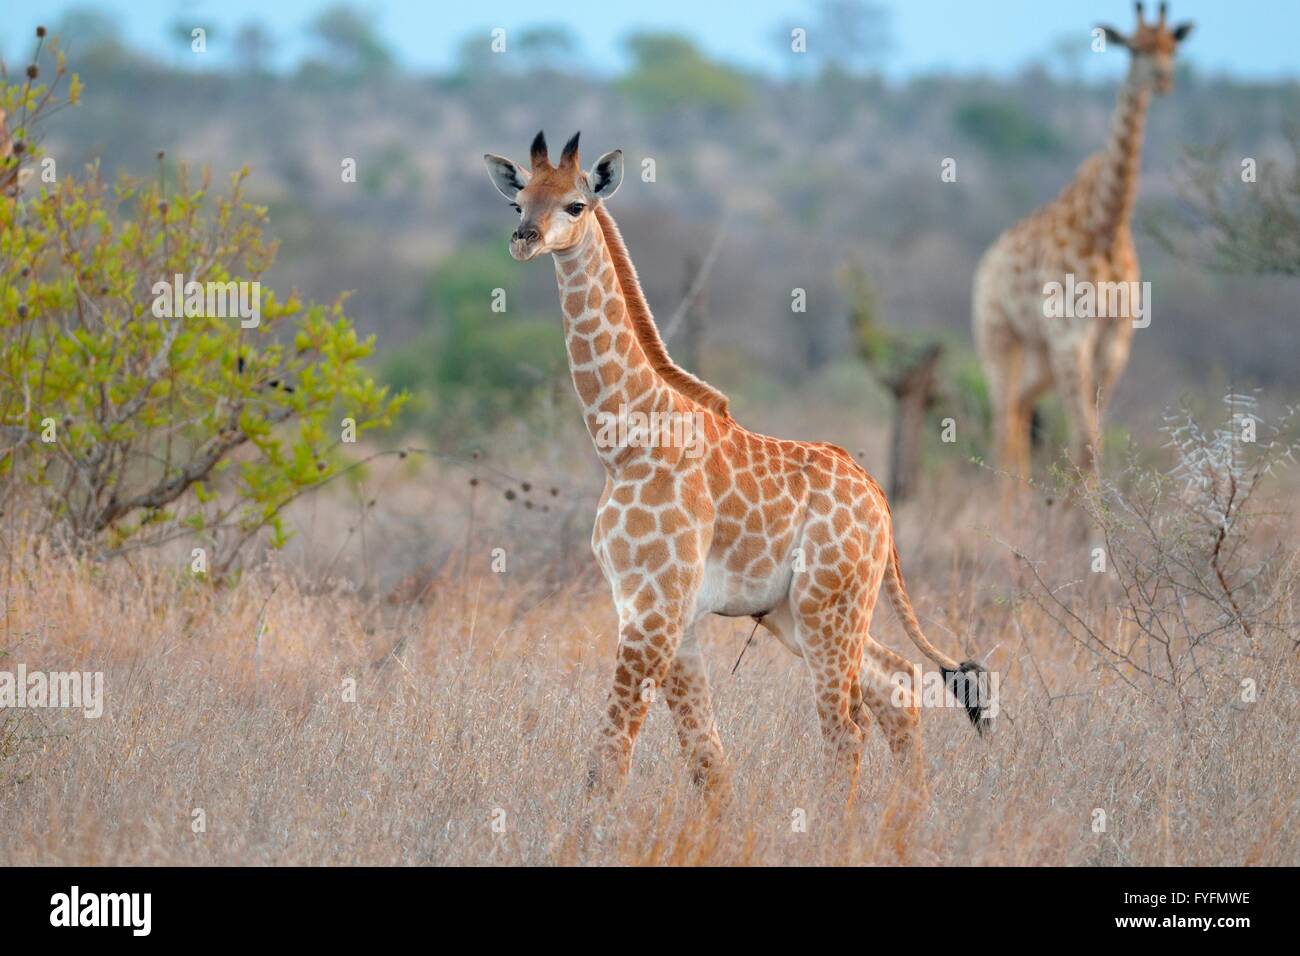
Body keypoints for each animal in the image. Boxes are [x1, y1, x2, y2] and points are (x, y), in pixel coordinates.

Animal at [488, 130, 982, 806]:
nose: (524, 238)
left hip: (828, 604)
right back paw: (908, 820)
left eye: (575, 205)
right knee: (899, 685)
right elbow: (706, 761)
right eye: (519, 202)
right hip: (798, 612)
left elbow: (610, 756)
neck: (624, 441)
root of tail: (878, 498)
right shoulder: (664, 611)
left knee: (846, 729)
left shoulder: (655, 606)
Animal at [972, 5, 1190, 486]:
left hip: (1041, 351)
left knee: (1021, 410)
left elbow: (1091, 441)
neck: (1104, 226)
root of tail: (988, 260)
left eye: (1171, 47)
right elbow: (1086, 441)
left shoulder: (1114, 340)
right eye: (1135, 48)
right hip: (999, 333)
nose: (1164, 80)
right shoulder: (1072, 335)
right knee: (1002, 419)